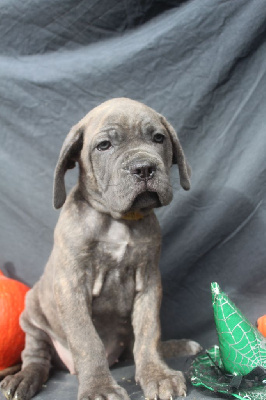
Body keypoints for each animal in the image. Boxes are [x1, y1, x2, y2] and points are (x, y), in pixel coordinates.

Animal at [0, 97, 201, 400]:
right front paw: (99, 388)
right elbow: (86, 340)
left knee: (135, 345)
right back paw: (23, 379)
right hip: (32, 316)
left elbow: (148, 333)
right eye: (104, 145)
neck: (118, 220)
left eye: (158, 138)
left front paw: (158, 374)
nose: (144, 168)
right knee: (36, 357)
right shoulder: (72, 285)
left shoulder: (149, 281)